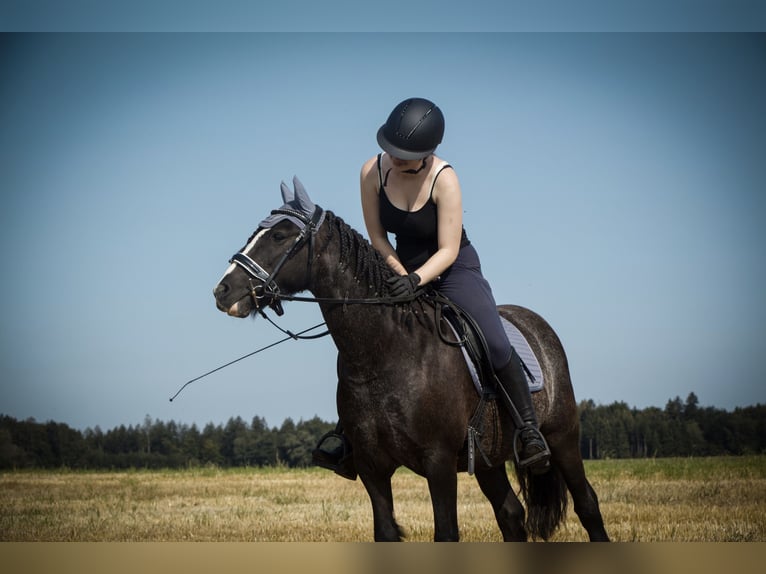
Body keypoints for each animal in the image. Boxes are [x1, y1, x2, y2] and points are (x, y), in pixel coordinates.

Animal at [213, 178, 608, 544]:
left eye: (280, 235)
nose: (223, 291)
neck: (384, 353)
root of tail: (536, 323)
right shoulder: (372, 468)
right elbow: (386, 532)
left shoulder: (439, 464)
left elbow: (445, 533)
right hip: (488, 459)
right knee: (511, 514)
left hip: (563, 439)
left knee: (587, 503)